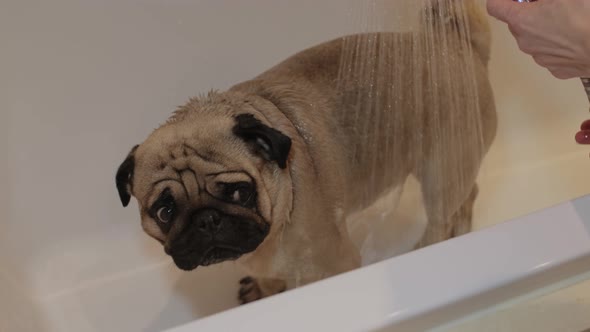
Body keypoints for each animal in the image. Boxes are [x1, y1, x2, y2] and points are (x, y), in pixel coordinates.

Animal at [114, 1, 494, 304]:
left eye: (240, 192)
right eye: (164, 211)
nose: (207, 219)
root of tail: (459, 46)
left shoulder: (333, 263)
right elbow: (268, 282)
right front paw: (262, 291)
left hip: (442, 174)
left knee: (441, 216)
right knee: (470, 196)